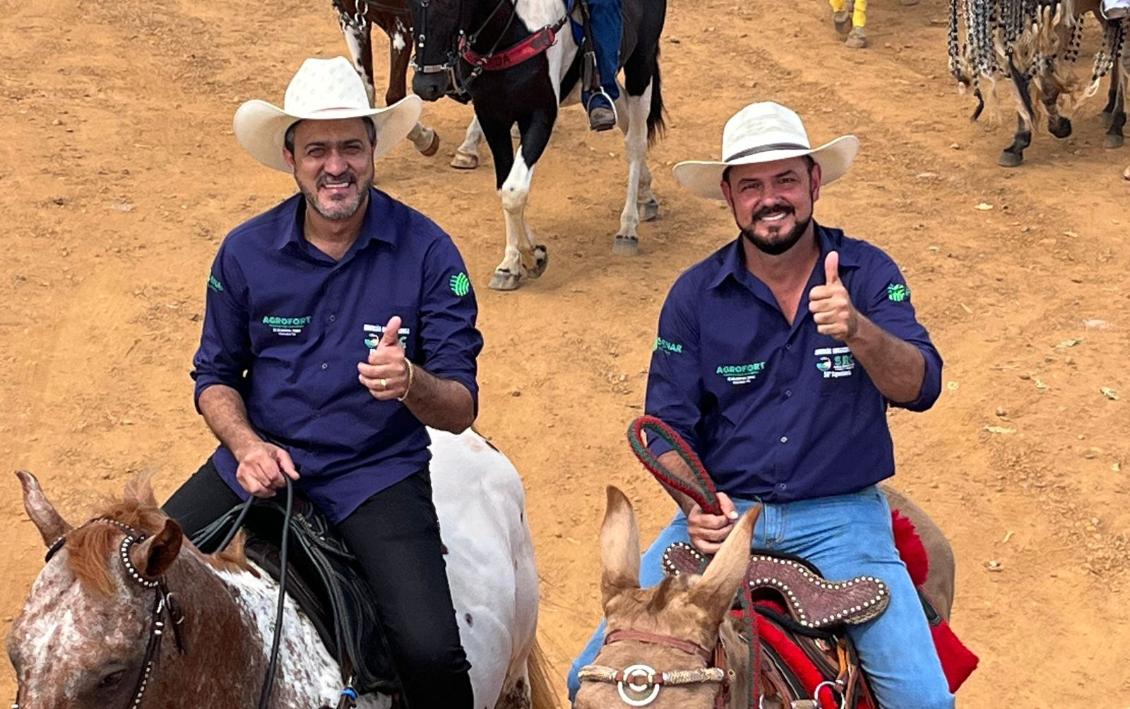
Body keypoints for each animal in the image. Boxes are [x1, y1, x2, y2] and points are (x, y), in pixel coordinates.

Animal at [411, 0, 664, 291]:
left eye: (450, 4)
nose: (425, 86)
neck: (511, 29)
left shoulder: (539, 116)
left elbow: (514, 190)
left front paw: (530, 256)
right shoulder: (491, 117)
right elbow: (504, 187)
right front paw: (514, 262)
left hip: (641, 62)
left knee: (635, 141)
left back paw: (628, 228)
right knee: (622, 114)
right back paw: (645, 192)